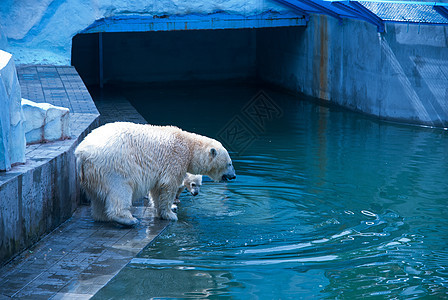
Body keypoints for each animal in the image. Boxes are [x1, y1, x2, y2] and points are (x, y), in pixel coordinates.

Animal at [74, 121, 234, 225]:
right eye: (230, 163)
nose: (233, 176)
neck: (190, 146)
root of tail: (82, 153)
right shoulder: (175, 159)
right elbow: (168, 187)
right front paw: (170, 214)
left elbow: (157, 189)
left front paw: (162, 212)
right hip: (113, 168)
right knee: (120, 191)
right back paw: (128, 219)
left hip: (93, 173)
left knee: (98, 197)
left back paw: (102, 217)